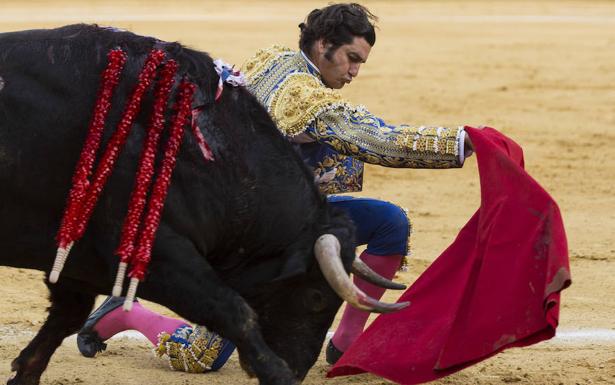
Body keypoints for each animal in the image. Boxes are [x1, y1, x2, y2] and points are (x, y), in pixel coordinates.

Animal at [0, 24, 376, 384]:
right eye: (315, 298)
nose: (297, 369)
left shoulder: (77, 259)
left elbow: (64, 320)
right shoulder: (158, 255)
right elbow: (234, 311)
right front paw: (278, 373)